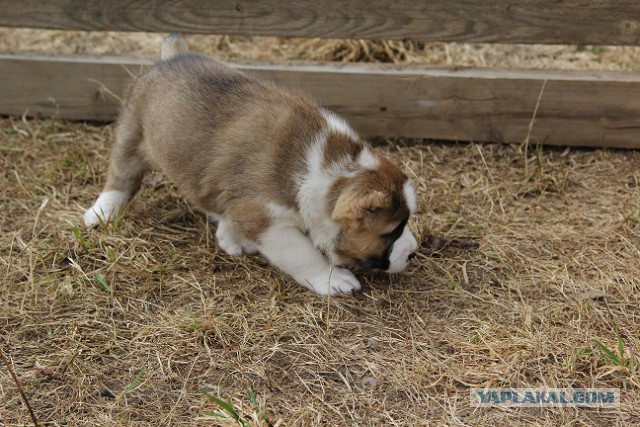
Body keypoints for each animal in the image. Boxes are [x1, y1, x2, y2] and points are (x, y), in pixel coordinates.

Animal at [82, 33, 418, 296]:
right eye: (392, 230)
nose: (414, 253)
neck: (327, 169)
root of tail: (172, 58)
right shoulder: (268, 222)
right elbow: (304, 254)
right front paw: (331, 279)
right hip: (132, 134)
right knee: (121, 176)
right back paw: (102, 212)